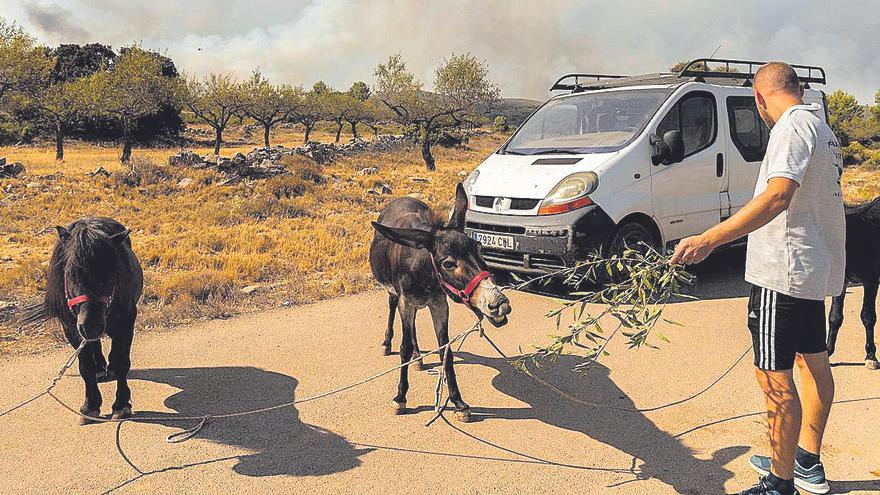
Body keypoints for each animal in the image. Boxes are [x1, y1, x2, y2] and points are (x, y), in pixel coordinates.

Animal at [36, 217, 144, 422]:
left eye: (110, 273)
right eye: (70, 272)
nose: (91, 325)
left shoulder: (126, 322)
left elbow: (122, 362)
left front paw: (121, 405)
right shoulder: (71, 329)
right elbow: (85, 367)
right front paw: (90, 406)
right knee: (94, 345)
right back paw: (100, 367)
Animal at [828, 196, 876, 370]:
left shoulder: (871, 280)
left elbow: (868, 316)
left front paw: (871, 356)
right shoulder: (841, 282)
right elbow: (835, 317)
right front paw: (828, 352)